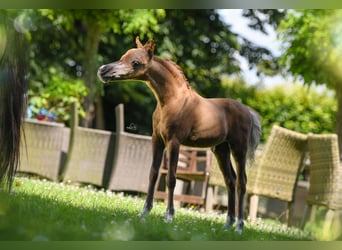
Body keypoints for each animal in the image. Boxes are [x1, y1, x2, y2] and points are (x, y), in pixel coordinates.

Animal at [97, 37, 260, 234]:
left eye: (135, 62)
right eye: (122, 57)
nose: (103, 70)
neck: (171, 101)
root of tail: (248, 111)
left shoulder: (174, 142)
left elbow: (171, 178)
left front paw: (169, 216)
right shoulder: (157, 140)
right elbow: (153, 174)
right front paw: (144, 212)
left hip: (239, 149)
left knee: (242, 182)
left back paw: (239, 226)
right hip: (221, 150)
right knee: (230, 180)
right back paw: (228, 224)